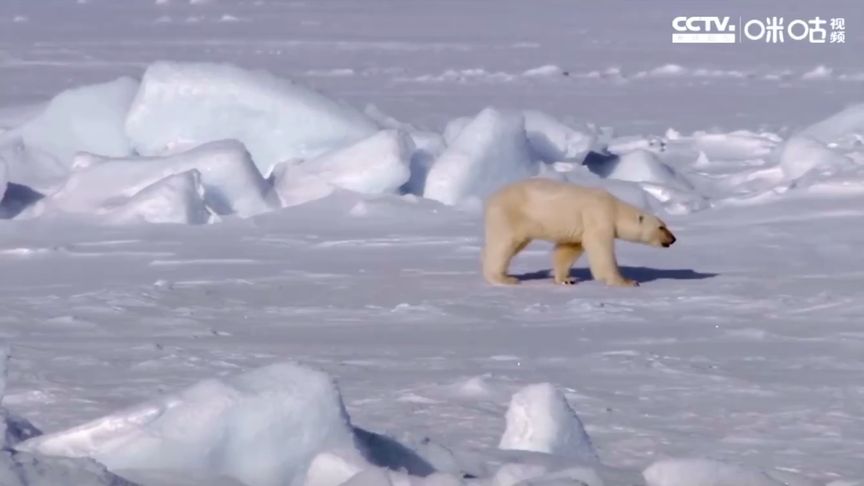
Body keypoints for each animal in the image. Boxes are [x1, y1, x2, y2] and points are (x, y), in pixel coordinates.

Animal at [480, 179, 676, 286]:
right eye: (661, 227)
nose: (673, 239)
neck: (614, 208)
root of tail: (491, 199)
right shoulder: (598, 217)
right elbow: (600, 249)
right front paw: (627, 281)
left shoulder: (579, 228)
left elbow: (568, 250)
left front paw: (566, 279)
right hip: (509, 215)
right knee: (503, 245)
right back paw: (504, 278)